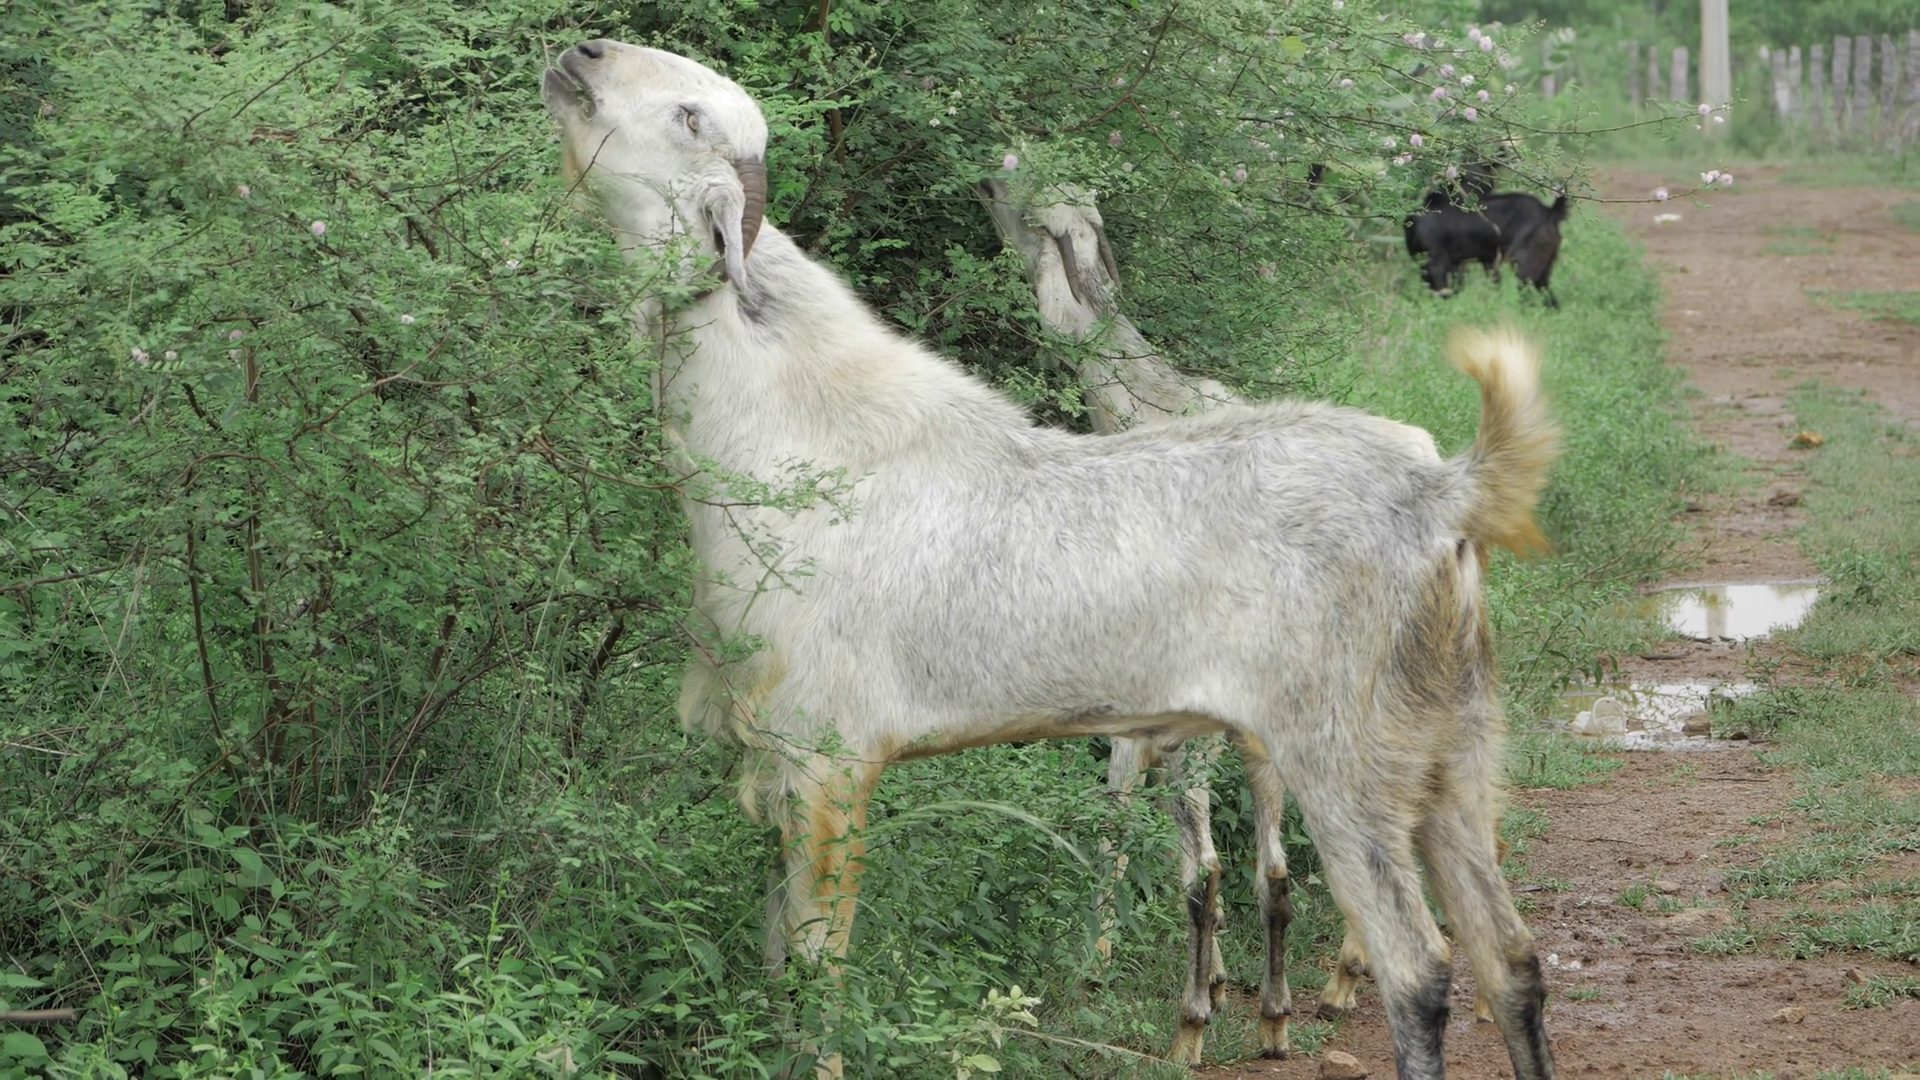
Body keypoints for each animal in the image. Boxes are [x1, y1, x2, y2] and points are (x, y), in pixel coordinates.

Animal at [543, 39, 1563, 1080]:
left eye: (691, 118)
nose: (581, 53)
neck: (801, 433)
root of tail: (1444, 491)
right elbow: (778, 953)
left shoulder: (831, 760)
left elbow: (818, 973)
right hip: (1451, 748)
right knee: (1511, 960)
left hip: (1345, 759)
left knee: (1421, 967)